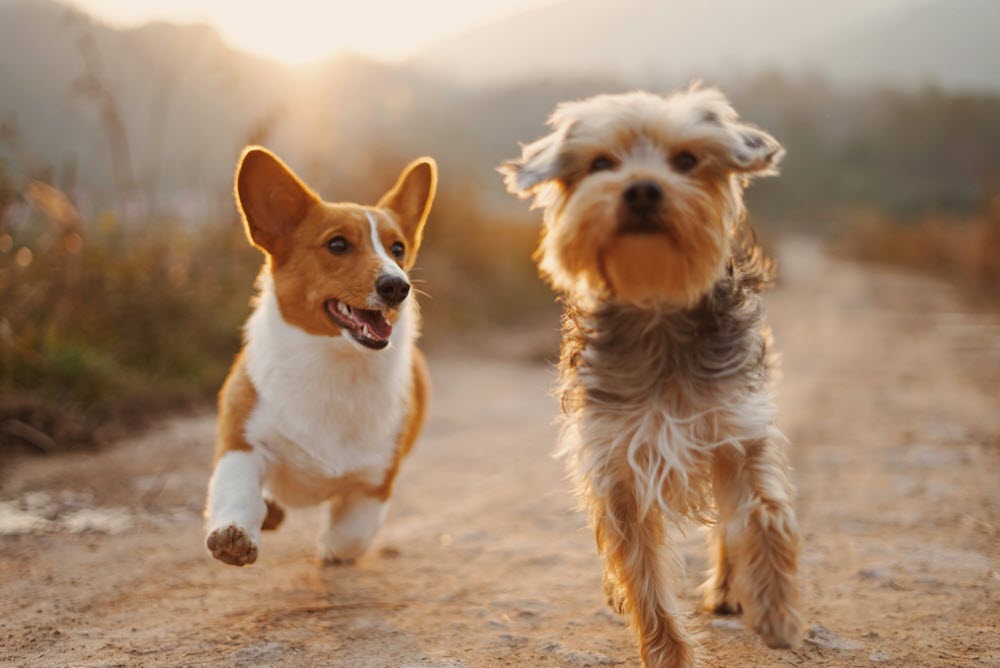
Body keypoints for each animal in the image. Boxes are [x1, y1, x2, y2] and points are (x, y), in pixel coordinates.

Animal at [206, 147, 434, 568]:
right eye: (338, 245)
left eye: (397, 249)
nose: (398, 286)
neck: (334, 363)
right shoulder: (242, 442)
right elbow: (237, 491)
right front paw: (234, 534)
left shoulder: (375, 482)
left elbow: (349, 536)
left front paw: (330, 549)